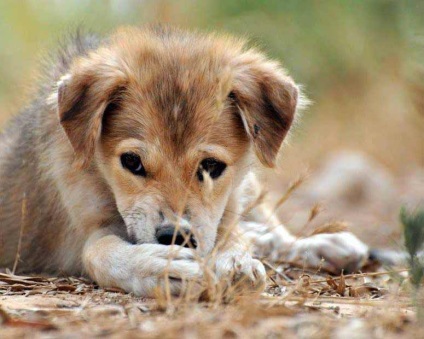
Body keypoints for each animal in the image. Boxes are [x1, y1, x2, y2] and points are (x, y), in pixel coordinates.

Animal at [0, 26, 368, 298]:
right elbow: (102, 252)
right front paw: (161, 266)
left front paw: (235, 261)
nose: (174, 237)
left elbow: (231, 233)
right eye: (132, 162)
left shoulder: (226, 202)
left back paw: (325, 244)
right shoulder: (85, 230)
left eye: (211, 167)